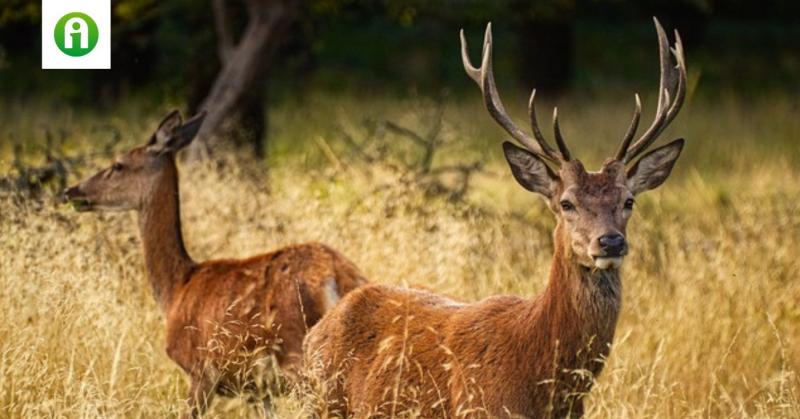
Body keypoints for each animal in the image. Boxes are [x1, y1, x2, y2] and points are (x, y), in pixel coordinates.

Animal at [61, 110, 368, 416]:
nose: (71, 191)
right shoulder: (258, 391)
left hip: (298, 354)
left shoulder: (200, 370)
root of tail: (336, 277)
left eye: (118, 164)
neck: (176, 289)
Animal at [306, 18, 688, 418]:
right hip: (323, 401)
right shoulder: (478, 407)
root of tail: (318, 329)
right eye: (566, 203)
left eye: (629, 201)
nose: (610, 241)